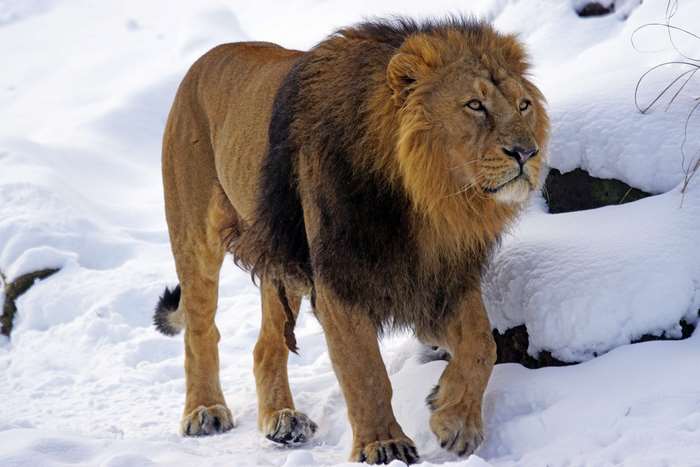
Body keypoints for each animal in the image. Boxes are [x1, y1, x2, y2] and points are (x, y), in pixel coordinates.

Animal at [153, 17, 548, 464]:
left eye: (523, 106)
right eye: (475, 105)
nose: (527, 152)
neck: (427, 201)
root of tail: (205, 59)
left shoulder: (443, 277)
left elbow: (482, 344)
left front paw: (454, 419)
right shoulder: (339, 278)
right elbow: (365, 371)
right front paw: (384, 444)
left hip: (280, 259)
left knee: (266, 346)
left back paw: (283, 420)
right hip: (195, 236)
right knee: (200, 329)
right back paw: (204, 411)